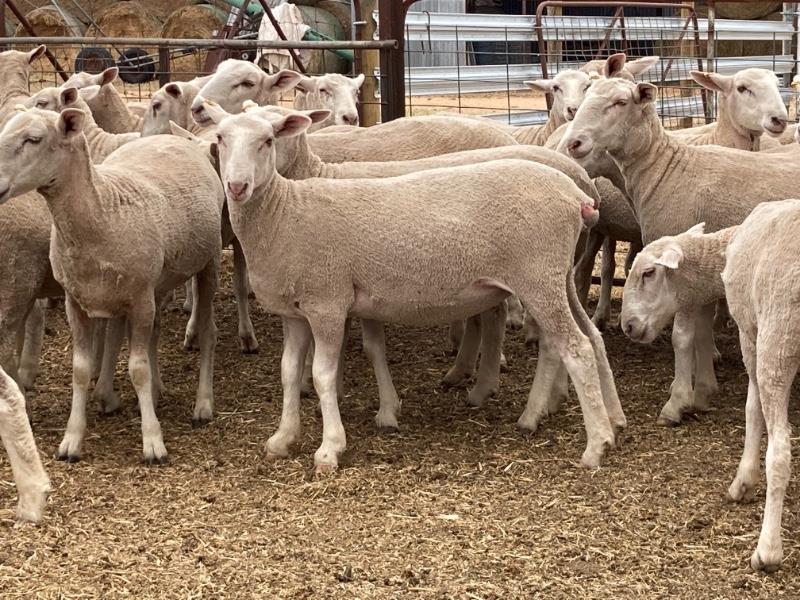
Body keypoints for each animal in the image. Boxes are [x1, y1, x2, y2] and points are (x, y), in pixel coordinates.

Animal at [0, 107, 224, 463]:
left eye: (33, 139)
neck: (102, 211)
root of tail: (175, 138)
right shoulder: (77, 301)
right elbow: (80, 369)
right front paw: (71, 440)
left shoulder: (139, 298)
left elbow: (137, 368)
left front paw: (153, 442)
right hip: (154, 283)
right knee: (154, 331)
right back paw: (155, 393)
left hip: (208, 262)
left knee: (207, 331)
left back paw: (203, 404)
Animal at [206, 104, 624, 471]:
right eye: (220, 138)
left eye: (268, 140)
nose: (237, 186)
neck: (285, 211)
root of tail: (576, 195)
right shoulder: (295, 312)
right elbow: (290, 372)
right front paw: (283, 438)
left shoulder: (328, 302)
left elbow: (324, 374)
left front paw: (330, 447)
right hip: (556, 277)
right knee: (586, 338)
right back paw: (596, 418)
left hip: (537, 277)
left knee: (575, 348)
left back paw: (595, 444)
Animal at [564, 77, 800, 425]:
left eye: (620, 103)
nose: (574, 143)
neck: (665, 171)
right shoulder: (698, 274)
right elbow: (700, 333)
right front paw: (703, 387)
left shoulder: (682, 269)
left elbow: (682, 337)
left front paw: (677, 402)